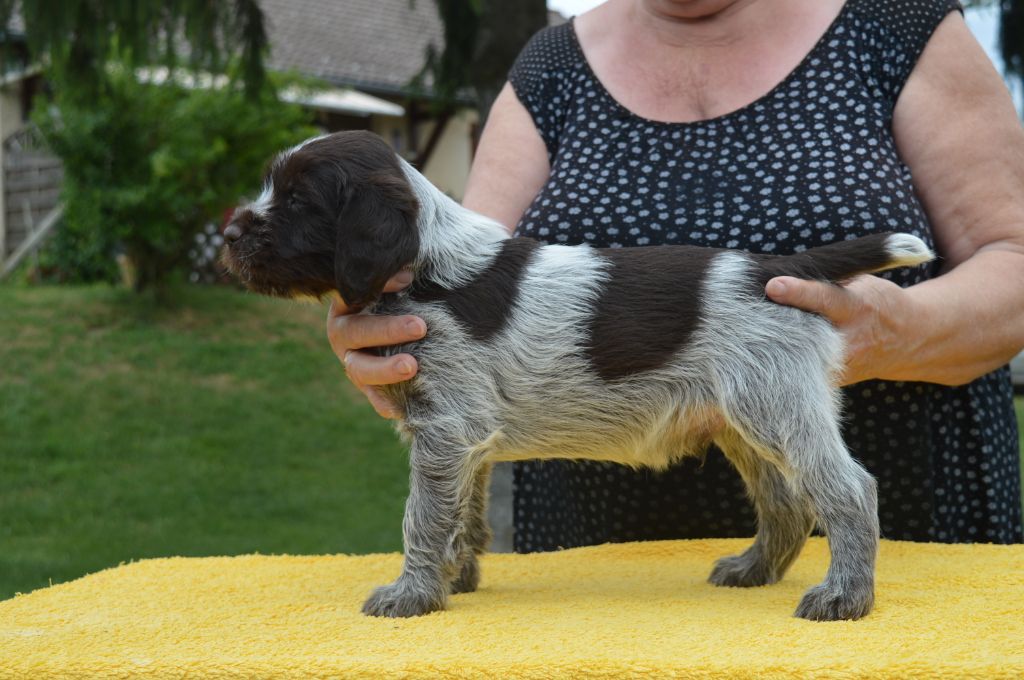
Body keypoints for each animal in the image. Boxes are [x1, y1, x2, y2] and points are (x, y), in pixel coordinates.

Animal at [222, 129, 937, 622]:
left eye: (298, 200)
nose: (227, 235)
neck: (429, 266)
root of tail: (780, 267)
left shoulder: (447, 427)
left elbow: (422, 516)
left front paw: (412, 594)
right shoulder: (464, 438)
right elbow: (462, 512)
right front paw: (454, 577)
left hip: (775, 401)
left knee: (848, 490)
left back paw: (845, 595)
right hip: (742, 415)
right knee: (788, 504)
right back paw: (754, 569)